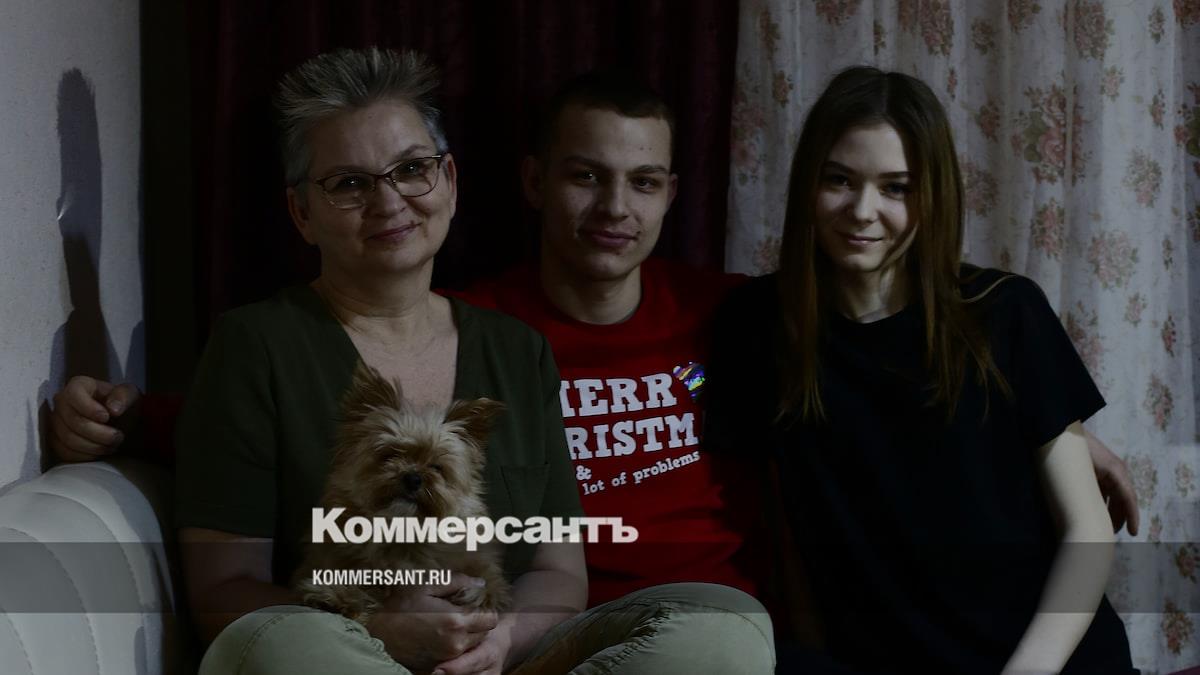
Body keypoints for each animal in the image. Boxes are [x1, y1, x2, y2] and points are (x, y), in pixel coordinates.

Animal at [294, 362, 510, 624]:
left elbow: (489, 580)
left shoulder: (476, 561)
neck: (401, 530)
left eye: (436, 467)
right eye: (389, 455)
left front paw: (477, 593)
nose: (413, 477)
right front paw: (338, 597)